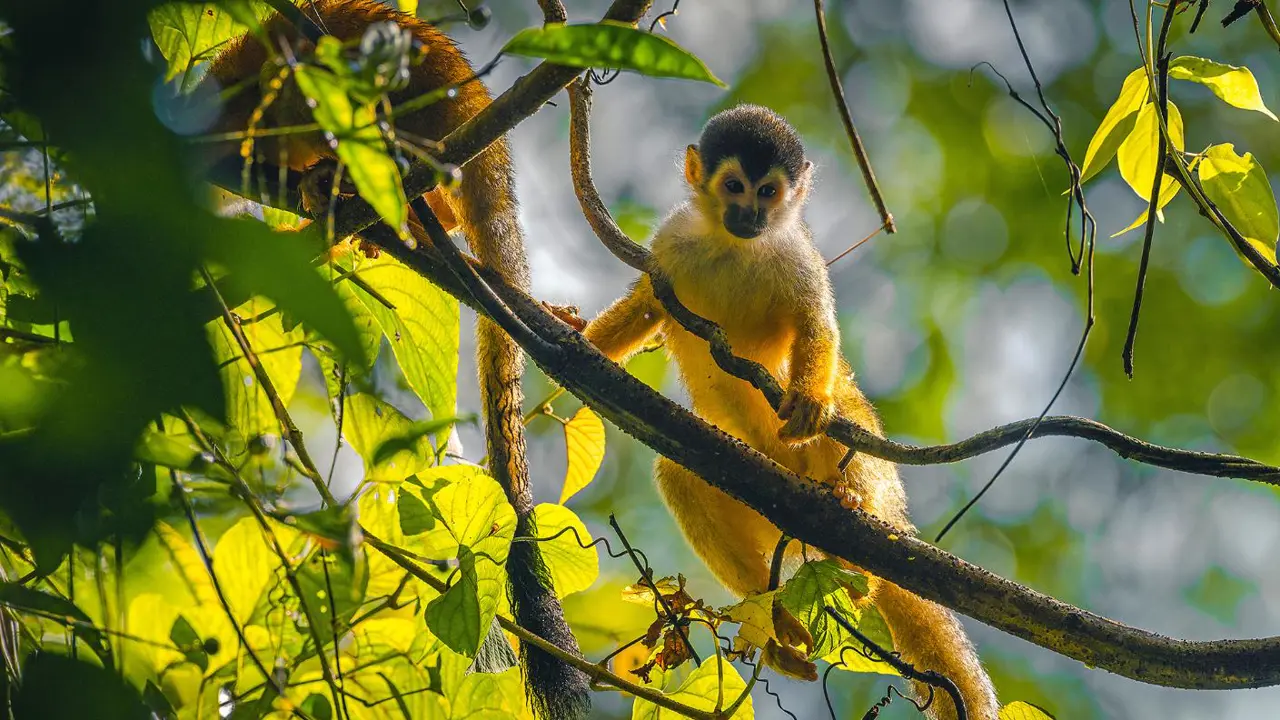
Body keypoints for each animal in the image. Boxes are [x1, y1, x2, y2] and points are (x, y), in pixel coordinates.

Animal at [582, 105, 1000, 720]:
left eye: (769, 191)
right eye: (734, 186)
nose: (752, 214)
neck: (733, 245)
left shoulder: (797, 255)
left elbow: (815, 324)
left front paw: (807, 400)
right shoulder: (671, 240)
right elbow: (650, 303)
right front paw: (579, 338)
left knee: (843, 421)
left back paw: (850, 522)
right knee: (681, 473)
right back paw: (772, 615)